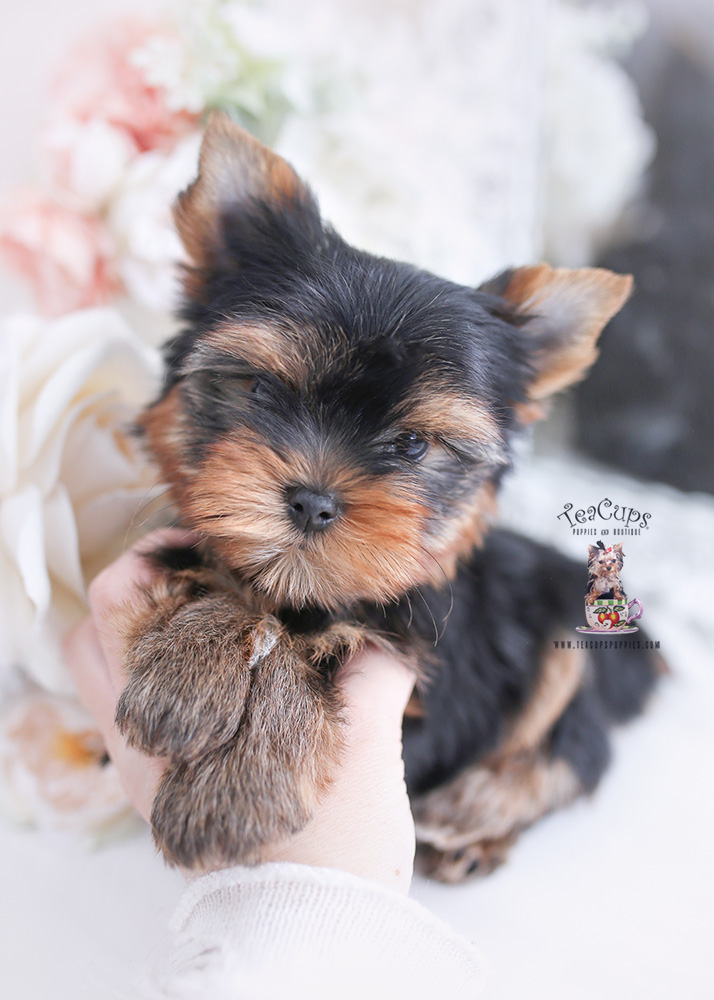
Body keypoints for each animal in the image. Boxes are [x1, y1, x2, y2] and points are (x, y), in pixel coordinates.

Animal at [115, 113, 656, 884]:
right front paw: (190, 665)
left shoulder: (426, 674)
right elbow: (228, 579)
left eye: (413, 446)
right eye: (261, 389)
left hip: (571, 638)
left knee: (576, 744)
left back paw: (474, 816)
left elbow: (321, 638)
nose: (313, 502)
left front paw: (238, 790)